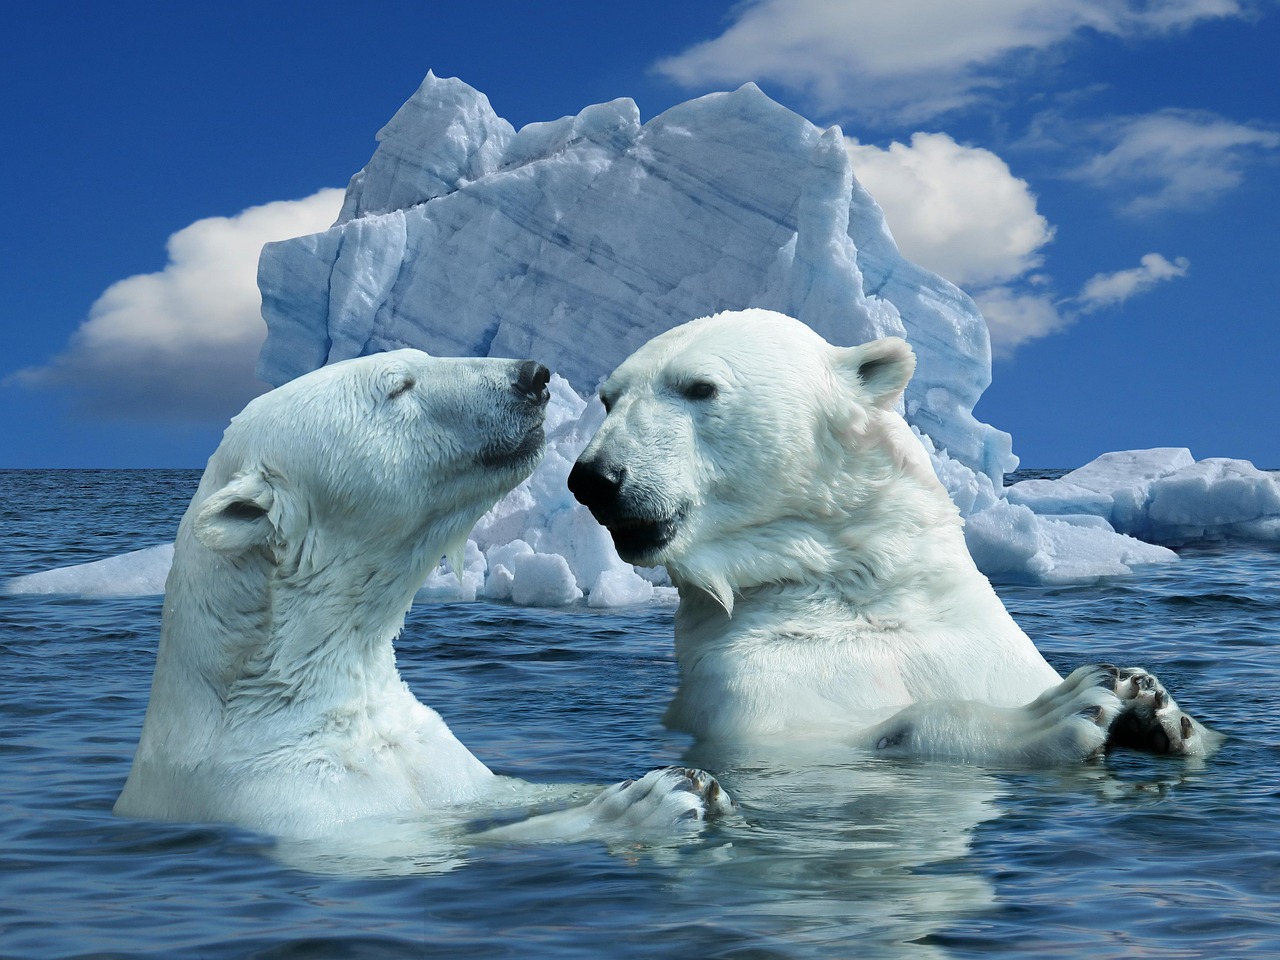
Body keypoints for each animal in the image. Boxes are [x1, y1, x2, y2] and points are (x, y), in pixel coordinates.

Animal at [114, 349, 730, 841]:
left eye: (418, 357)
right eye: (399, 385)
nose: (532, 376)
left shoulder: (443, 763)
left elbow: (505, 790)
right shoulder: (289, 797)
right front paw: (648, 801)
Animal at [568, 309, 1218, 762]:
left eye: (699, 387)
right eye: (609, 398)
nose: (593, 479)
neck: (850, 588)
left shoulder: (972, 640)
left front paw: (1156, 706)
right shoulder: (745, 687)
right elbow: (845, 732)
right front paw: (1067, 709)